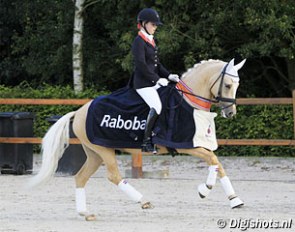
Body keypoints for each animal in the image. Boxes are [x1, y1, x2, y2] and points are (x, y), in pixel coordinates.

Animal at [28, 58, 247, 221]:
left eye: (237, 85)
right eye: (228, 85)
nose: (231, 113)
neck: (188, 101)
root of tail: (80, 111)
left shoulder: (197, 143)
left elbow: (217, 164)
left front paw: (234, 200)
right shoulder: (187, 146)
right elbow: (213, 160)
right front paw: (205, 189)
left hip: (95, 153)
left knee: (81, 177)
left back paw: (86, 213)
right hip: (104, 150)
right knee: (114, 176)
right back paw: (143, 201)